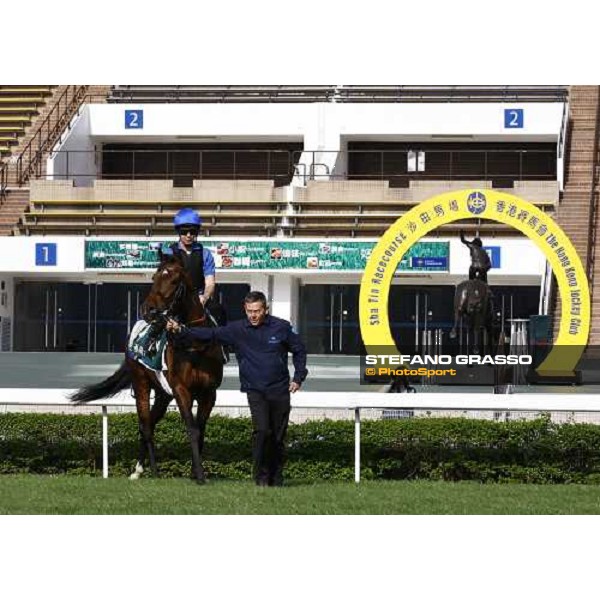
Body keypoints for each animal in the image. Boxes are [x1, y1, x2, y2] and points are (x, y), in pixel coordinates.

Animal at [70, 251, 224, 486]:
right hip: (142, 383)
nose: (147, 310)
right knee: (145, 425)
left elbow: (201, 429)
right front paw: (199, 475)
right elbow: (192, 429)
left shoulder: (209, 393)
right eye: (154, 277)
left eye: (174, 280)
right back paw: (150, 470)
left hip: (163, 394)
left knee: (149, 423)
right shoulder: (181, 390)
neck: (195, 344)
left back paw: (140, 469)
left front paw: (194, 472)